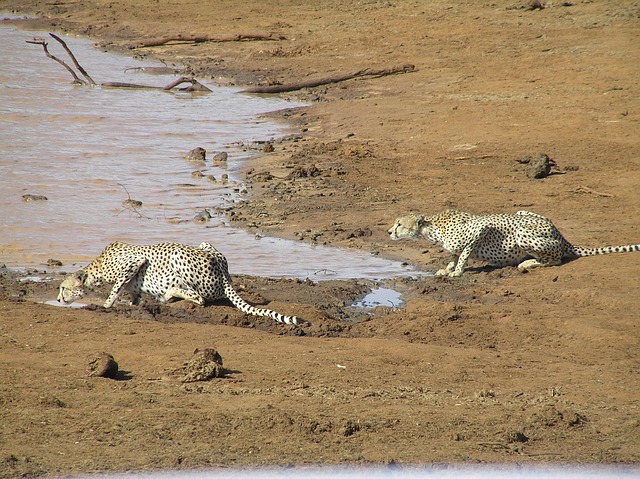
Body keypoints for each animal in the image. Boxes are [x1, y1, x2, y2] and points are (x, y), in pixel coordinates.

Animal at [57, 241, 302, 325]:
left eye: (63, 288)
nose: (58, 299)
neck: (96, 268)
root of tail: (224, 273)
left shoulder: (135, 261)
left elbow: (115, 289)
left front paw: (105, 306)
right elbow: (132, 294)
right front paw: (131, 304)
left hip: (178, 255)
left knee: (199, 298)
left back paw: (169, 294)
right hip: (205, 244)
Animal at [388, 209, 640, 277]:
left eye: (399, 223)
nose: (389, 231)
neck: (432, 228)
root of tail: (560, 235)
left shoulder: (479, 228)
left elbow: (464, 254)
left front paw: (457, 272)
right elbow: (453, 254)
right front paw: (447, 268)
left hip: (522, 233)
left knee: (556, 259)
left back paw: (526, 264)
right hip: (523, 212)